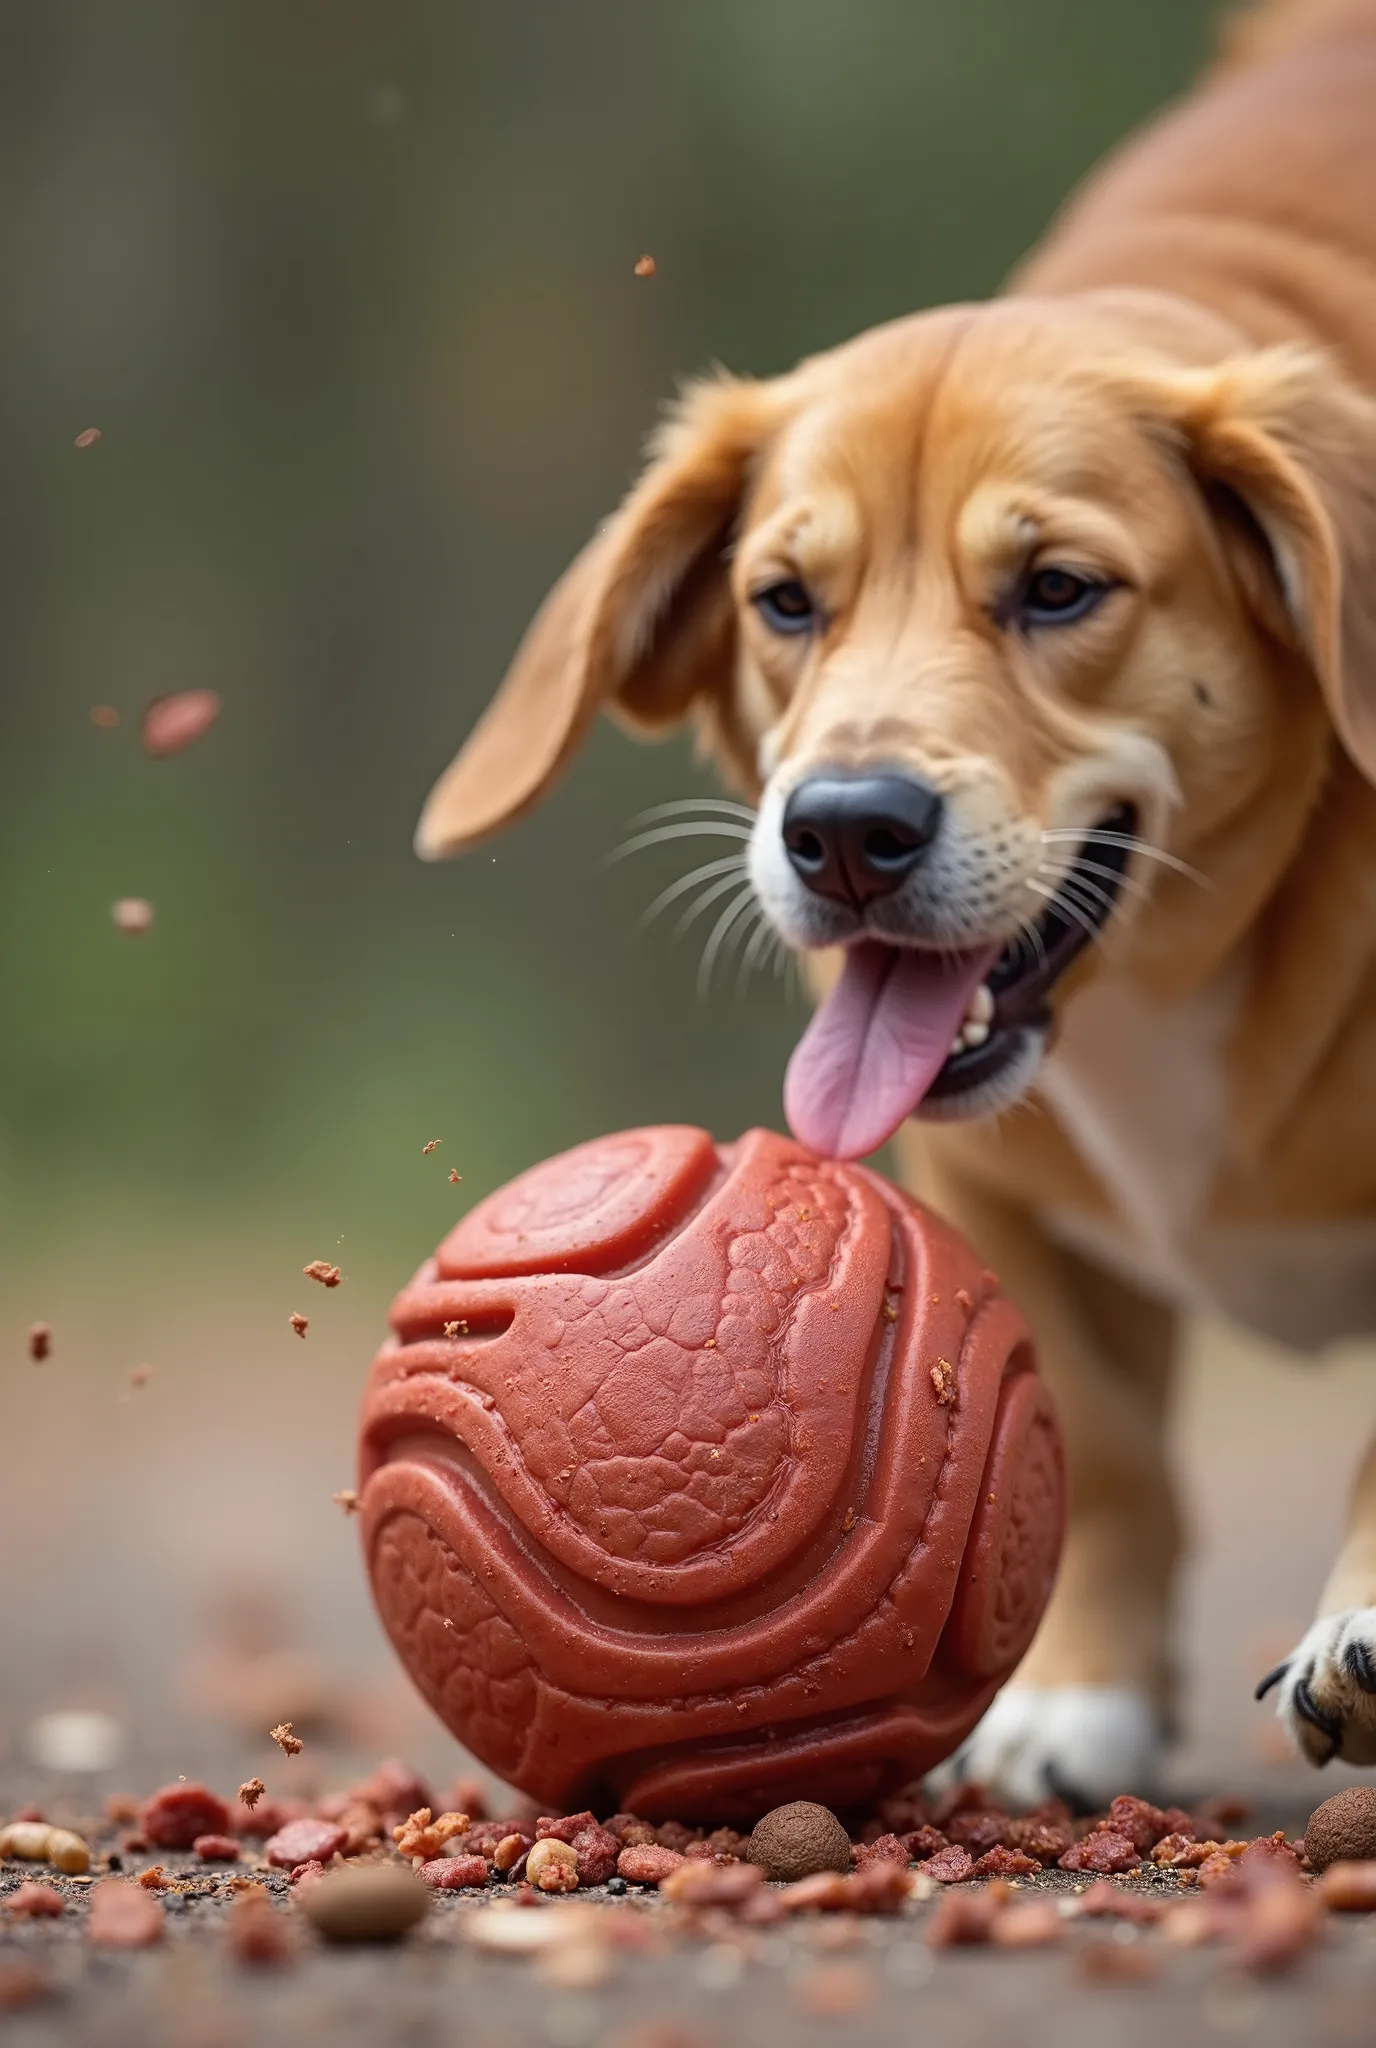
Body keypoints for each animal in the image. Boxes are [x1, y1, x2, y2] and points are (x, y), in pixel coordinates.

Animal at [413, 0, 1376, 1794]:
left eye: (1058, 588)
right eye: (786, 600)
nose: (846, 832)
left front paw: (1361, 1622)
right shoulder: (985, 1179)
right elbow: (1109, 1450)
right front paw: (1076, 1699)